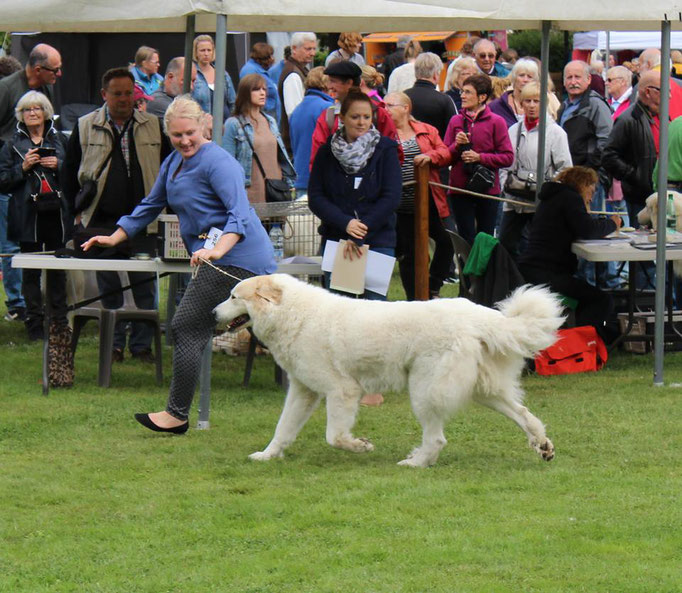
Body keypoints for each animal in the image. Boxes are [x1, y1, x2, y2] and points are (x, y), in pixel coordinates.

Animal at [214, 274, 564, 468]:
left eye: (233, 296)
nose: (213, 312)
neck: (294, 313)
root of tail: (476, 314)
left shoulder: (342, 391)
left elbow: (334, 436)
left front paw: (360, 446)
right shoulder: (304, 392)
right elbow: (283, 429)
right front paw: (267, 456)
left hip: (424, 391)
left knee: (437, 440)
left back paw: (416, 463)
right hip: (482, 390)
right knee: (523, 414)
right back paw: (543, 445)